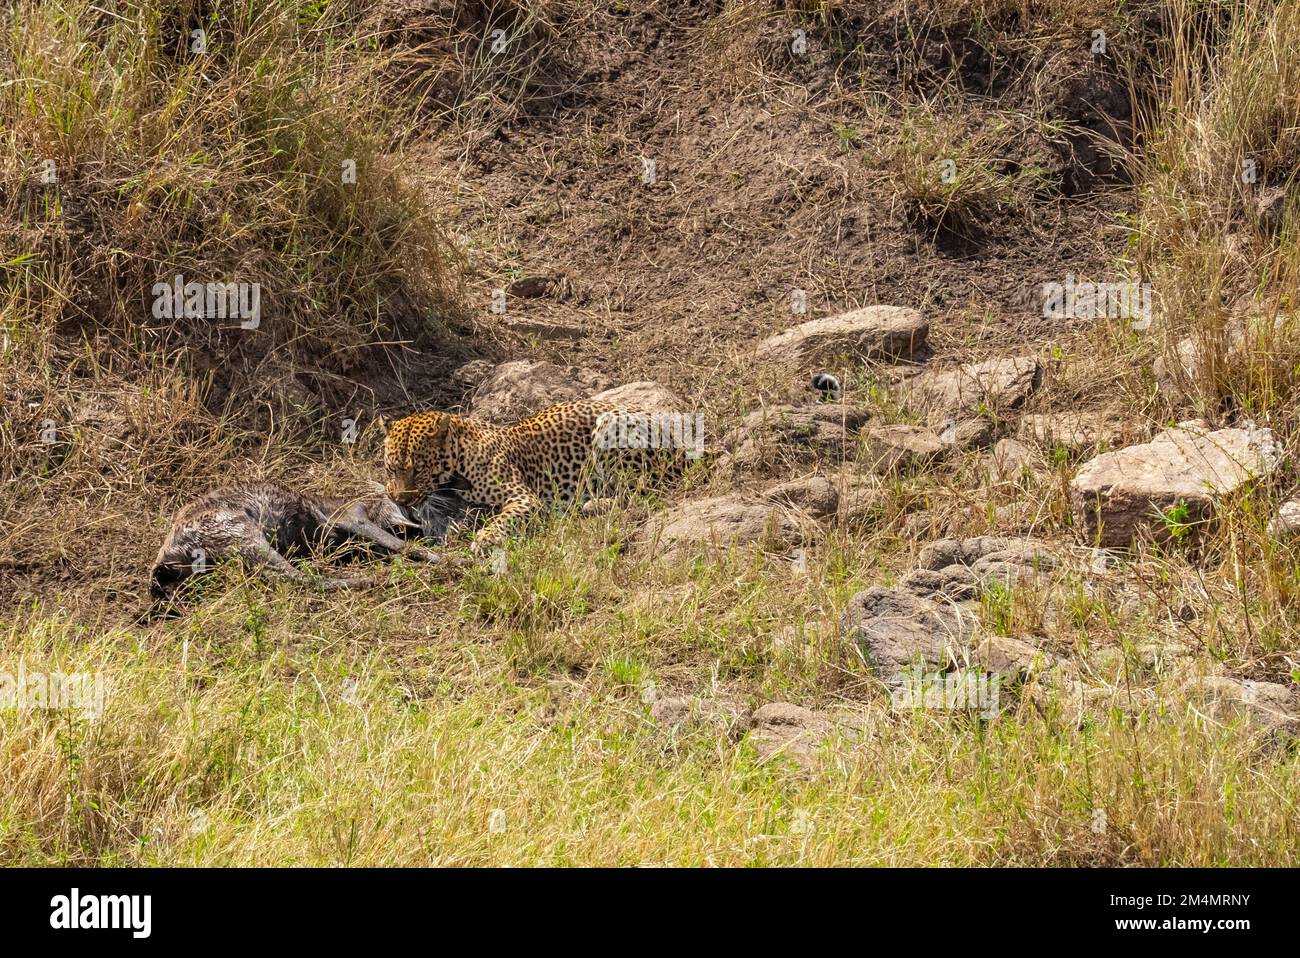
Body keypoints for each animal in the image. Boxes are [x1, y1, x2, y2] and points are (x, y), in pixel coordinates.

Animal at [377, 395, 691, 545]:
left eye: (419, 470)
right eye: (390, 469)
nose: (400, 500)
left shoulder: (524, 497)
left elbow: (505, 519)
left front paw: (485, 539)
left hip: (610, 427)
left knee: (646, 492)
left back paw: (593, 505)